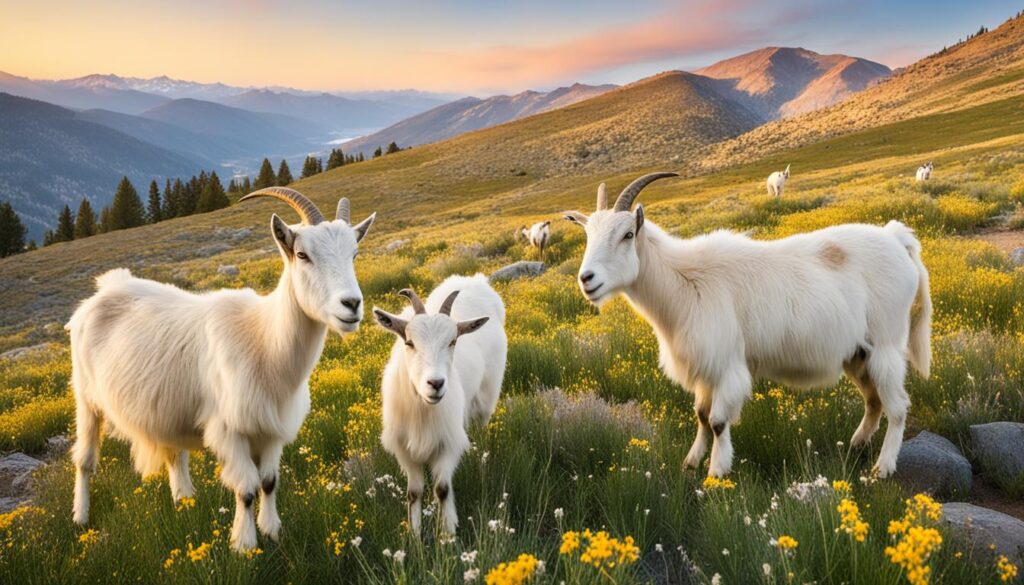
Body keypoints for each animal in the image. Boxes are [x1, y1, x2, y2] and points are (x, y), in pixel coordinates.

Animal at [67, 187, 376, 551]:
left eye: (354, 253)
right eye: (302, 254)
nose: (351, 305)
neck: (264, 341)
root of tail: (105, 289)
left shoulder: (271, 429)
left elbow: (269, 482)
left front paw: (273, 531)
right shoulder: (230, 430)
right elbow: (246, 489)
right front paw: (244, 544)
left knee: (174, 455)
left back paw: (185, 501)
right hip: (86, 397)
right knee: (84, 459)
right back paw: (80, 517)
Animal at [372, 275, 507, 535]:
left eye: (453, 341)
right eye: (409, 342)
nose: (435, 383)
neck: (423, 408)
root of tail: (474, 281)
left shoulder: (447, 443)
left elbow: (442, 489)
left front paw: (447, 534)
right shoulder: (405, 449)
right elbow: (413, 493)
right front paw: (414, 536)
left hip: (487, 397)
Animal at [564, 173, 931, 478]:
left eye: (627, 234)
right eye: (587, 235)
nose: (587, 279)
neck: (684, 282)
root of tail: (897, 239)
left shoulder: (727, 364)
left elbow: (717, 421)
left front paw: (716, 472)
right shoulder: (705, 369)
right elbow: (700, 414)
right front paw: (691, 462)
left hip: (886, 344)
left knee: (897, 406)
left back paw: (882, 468)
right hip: (858, 353)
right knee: (874, 400)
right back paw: (857, 444)